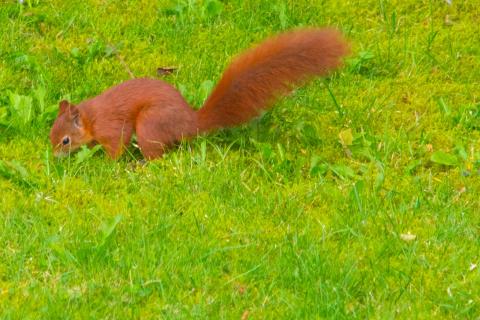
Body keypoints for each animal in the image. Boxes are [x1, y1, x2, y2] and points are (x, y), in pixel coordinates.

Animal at [48, 27, 348, 160]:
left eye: (65, 140)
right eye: (51, 133)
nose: (55, 158)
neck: (90, 117)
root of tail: (189, 123)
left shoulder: (111, 127)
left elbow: (116, 143)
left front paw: (108, 164)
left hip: (148, 124)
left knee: (157, 155)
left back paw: (140, 164)